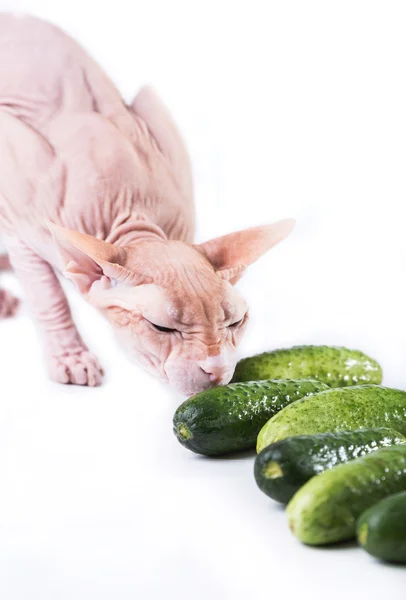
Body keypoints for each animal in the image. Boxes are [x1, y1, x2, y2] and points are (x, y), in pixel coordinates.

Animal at [0, 14, 294, 396]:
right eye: (161, 328)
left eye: (235, 322)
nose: (216, 370)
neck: (130, 211)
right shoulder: (23, 222)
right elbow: (48, 296)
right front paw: (71, 357)